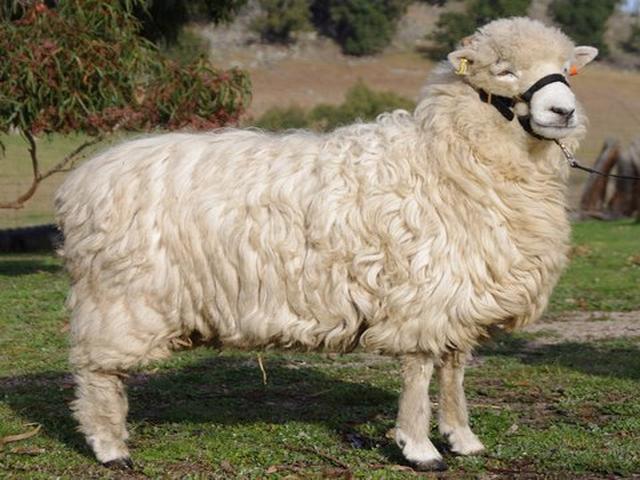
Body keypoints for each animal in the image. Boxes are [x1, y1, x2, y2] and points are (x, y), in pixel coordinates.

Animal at [55, 17, 598, 471]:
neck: (448, 157)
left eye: (567, 68)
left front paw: (462, 438)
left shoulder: (460, 298)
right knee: (97, 373)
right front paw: (419, 447)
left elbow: (454, 370)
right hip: (118, 297)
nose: (564, 111)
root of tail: (82, 182)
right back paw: (110, 448)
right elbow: (420, 371)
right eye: (504, 70)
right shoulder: (424, 296)